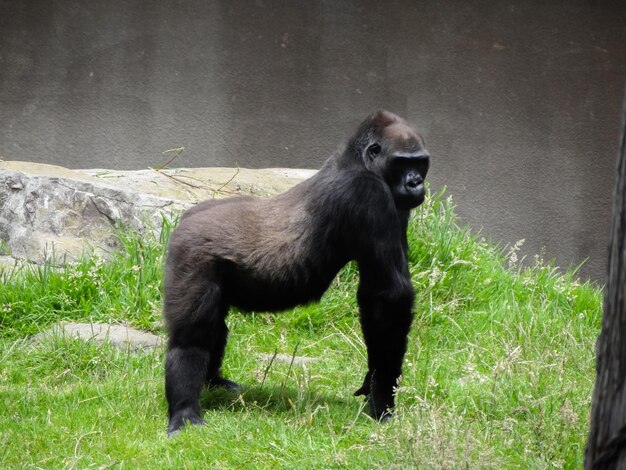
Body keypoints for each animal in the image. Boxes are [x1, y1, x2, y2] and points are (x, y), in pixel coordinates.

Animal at [162, 110, 428, 434]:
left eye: (420, 163)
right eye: (402, 162)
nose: (415, 183)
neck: (355, 161)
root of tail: (183, 221)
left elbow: (377, 304)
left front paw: (372, 381)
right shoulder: (368, 194)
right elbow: (389, 296)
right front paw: (382, 397)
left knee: (214, 327)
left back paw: (213, 382)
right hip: (190, 256)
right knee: (192, 336)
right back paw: (185, 409)